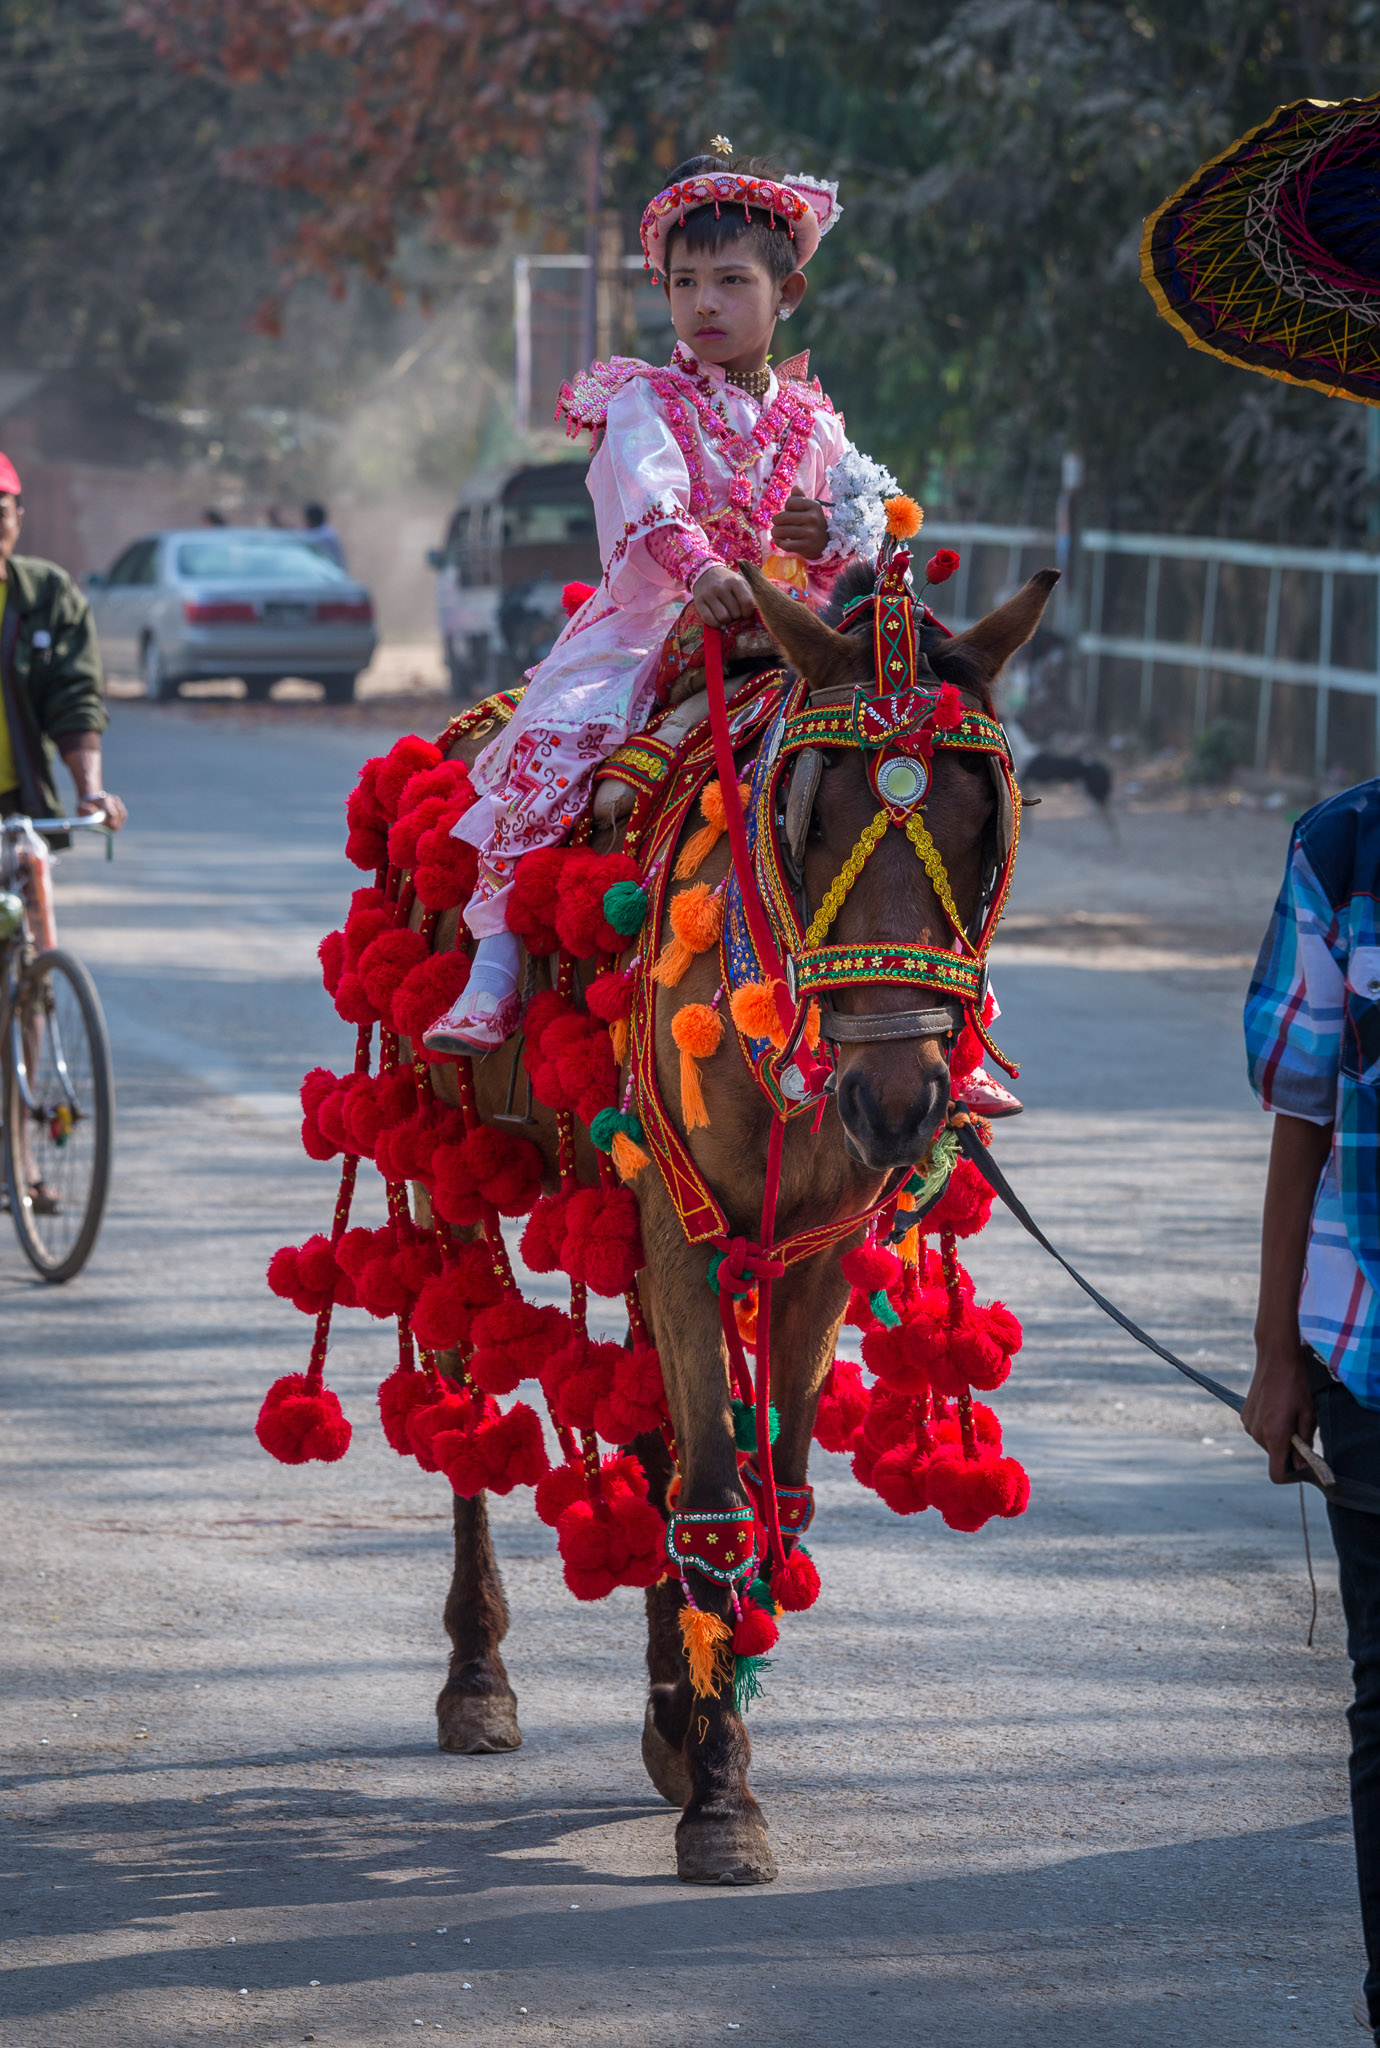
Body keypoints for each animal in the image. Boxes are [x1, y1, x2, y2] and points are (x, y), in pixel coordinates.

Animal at [413, 561, 1048, 1884]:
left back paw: (663, 1699)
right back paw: (477, 1676)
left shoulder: (816, 1250)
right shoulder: (684, 1222)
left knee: (650, 1427)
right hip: (453, 1158)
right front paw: (723, 1798)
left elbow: (769, 1488)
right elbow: (710, 1489)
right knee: (462, 1406)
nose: (899, 1099)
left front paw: (701, 1725)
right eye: (810, 821)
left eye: (987, 826)